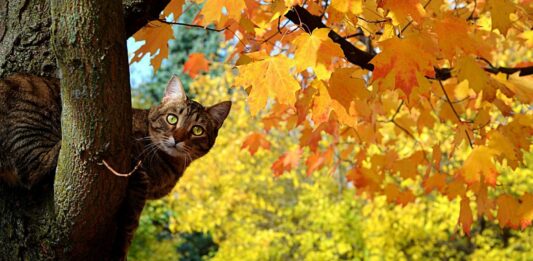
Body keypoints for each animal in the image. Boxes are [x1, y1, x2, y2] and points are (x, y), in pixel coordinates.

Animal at [0, 73, 233, 258]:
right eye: (172, 119)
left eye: (197, 130)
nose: (177, 138)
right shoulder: (138, 180)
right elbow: (130, 225)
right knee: (36, 168)